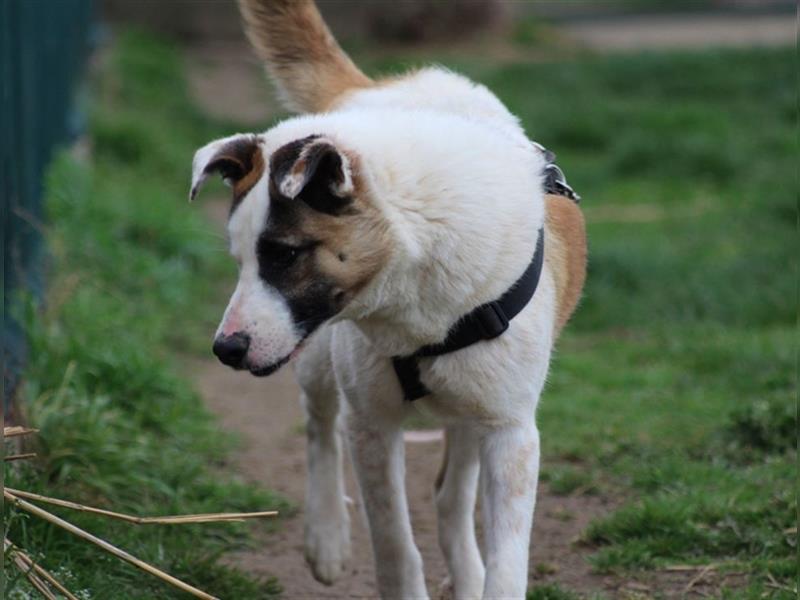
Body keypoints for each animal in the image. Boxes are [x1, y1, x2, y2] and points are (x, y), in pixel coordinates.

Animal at [190, 2, 584, 596]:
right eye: (241, 261)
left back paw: (465, 569)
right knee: (319, 425)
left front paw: (482, 574)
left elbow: (506, 560)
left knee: (450, 493)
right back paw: (327, 536)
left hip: (472, 404)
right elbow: (395, 542)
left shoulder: (510, 432)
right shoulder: (372, 424)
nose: (226, 350)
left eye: (285, 255)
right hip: (319, 360)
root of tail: (372, 91)